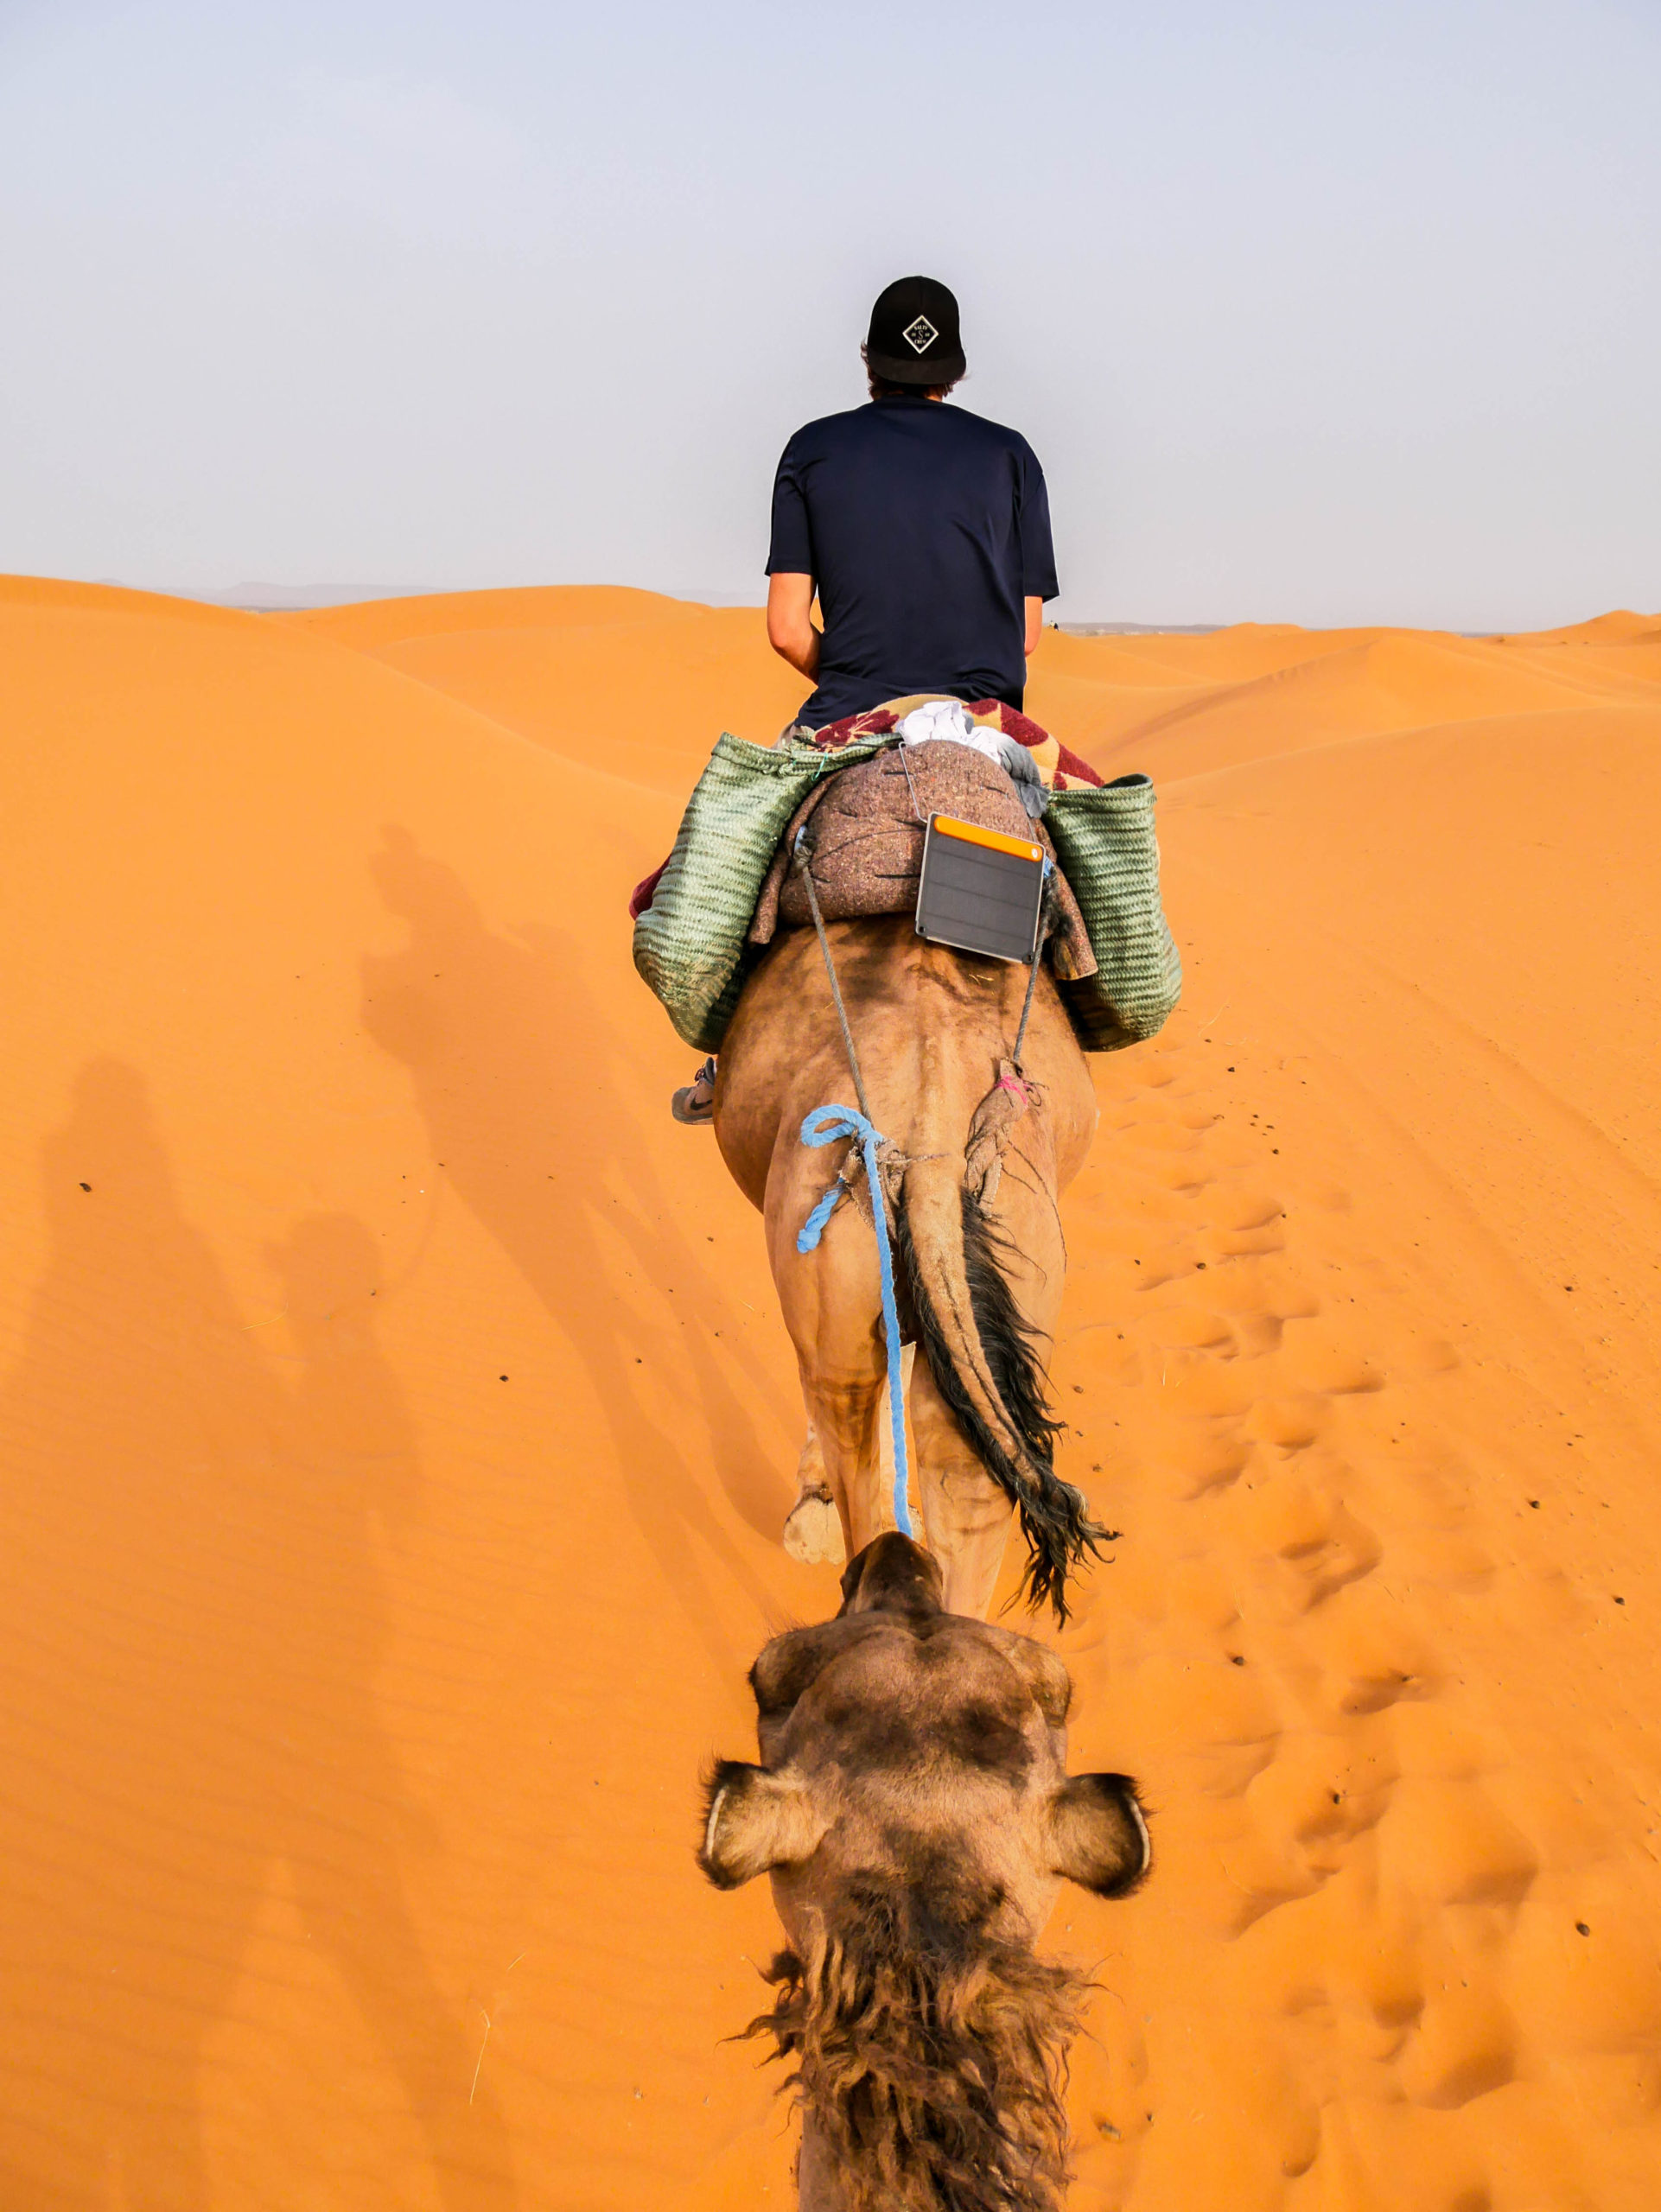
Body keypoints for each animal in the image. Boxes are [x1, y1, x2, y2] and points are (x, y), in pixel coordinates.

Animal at [716, 906, 1105, 1618]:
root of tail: (932, 1141)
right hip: (1025, 1244)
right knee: (962, 1461)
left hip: (835, 1243)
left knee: (846, 1406)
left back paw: (823, 1528)